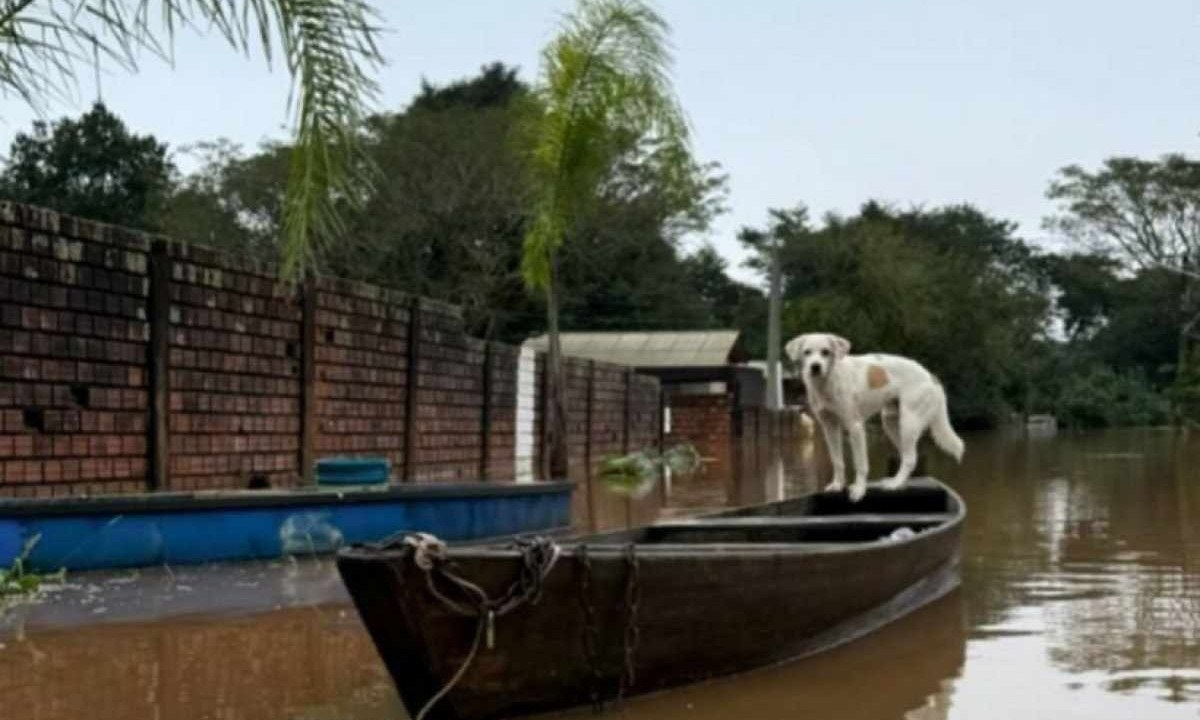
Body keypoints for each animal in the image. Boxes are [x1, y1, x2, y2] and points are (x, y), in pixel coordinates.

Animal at [787, 331, 964, 501]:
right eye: (807, 352)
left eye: (826, 352)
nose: (815, 367)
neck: (828, 382)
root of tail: (931, 376)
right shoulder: (829, 427)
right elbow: (837, 461)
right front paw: (837, 485)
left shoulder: (855, 427)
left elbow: (860, 464)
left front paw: (859, 490)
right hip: (891, 423)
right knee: (908, 458)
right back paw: (898, 483)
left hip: (909, 423)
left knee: (910, 458)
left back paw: (895, 484)